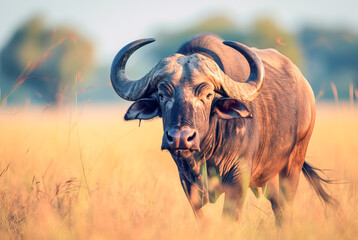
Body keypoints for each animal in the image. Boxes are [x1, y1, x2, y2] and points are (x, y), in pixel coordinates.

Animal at [110, 33, 338, 225]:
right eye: (162, 94)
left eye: (207, 95)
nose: (180, 138)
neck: (206, 153)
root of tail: (306, 89)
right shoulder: (187, 182)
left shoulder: (238, 177)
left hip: (293, 163)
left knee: (284, 210)